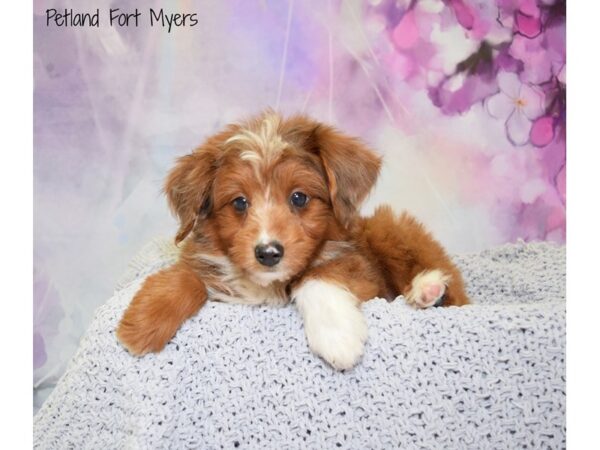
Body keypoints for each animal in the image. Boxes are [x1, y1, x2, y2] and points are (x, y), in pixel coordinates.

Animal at [115, 110, 466, 370]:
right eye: (239, 202)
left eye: (299, 198)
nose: (268, 252)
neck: (268, 284)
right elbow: (189, 275)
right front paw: (144, 321)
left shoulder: (360, 268)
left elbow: (318, 275)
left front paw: (337, 335)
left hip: (387, 226)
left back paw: (427, 290)